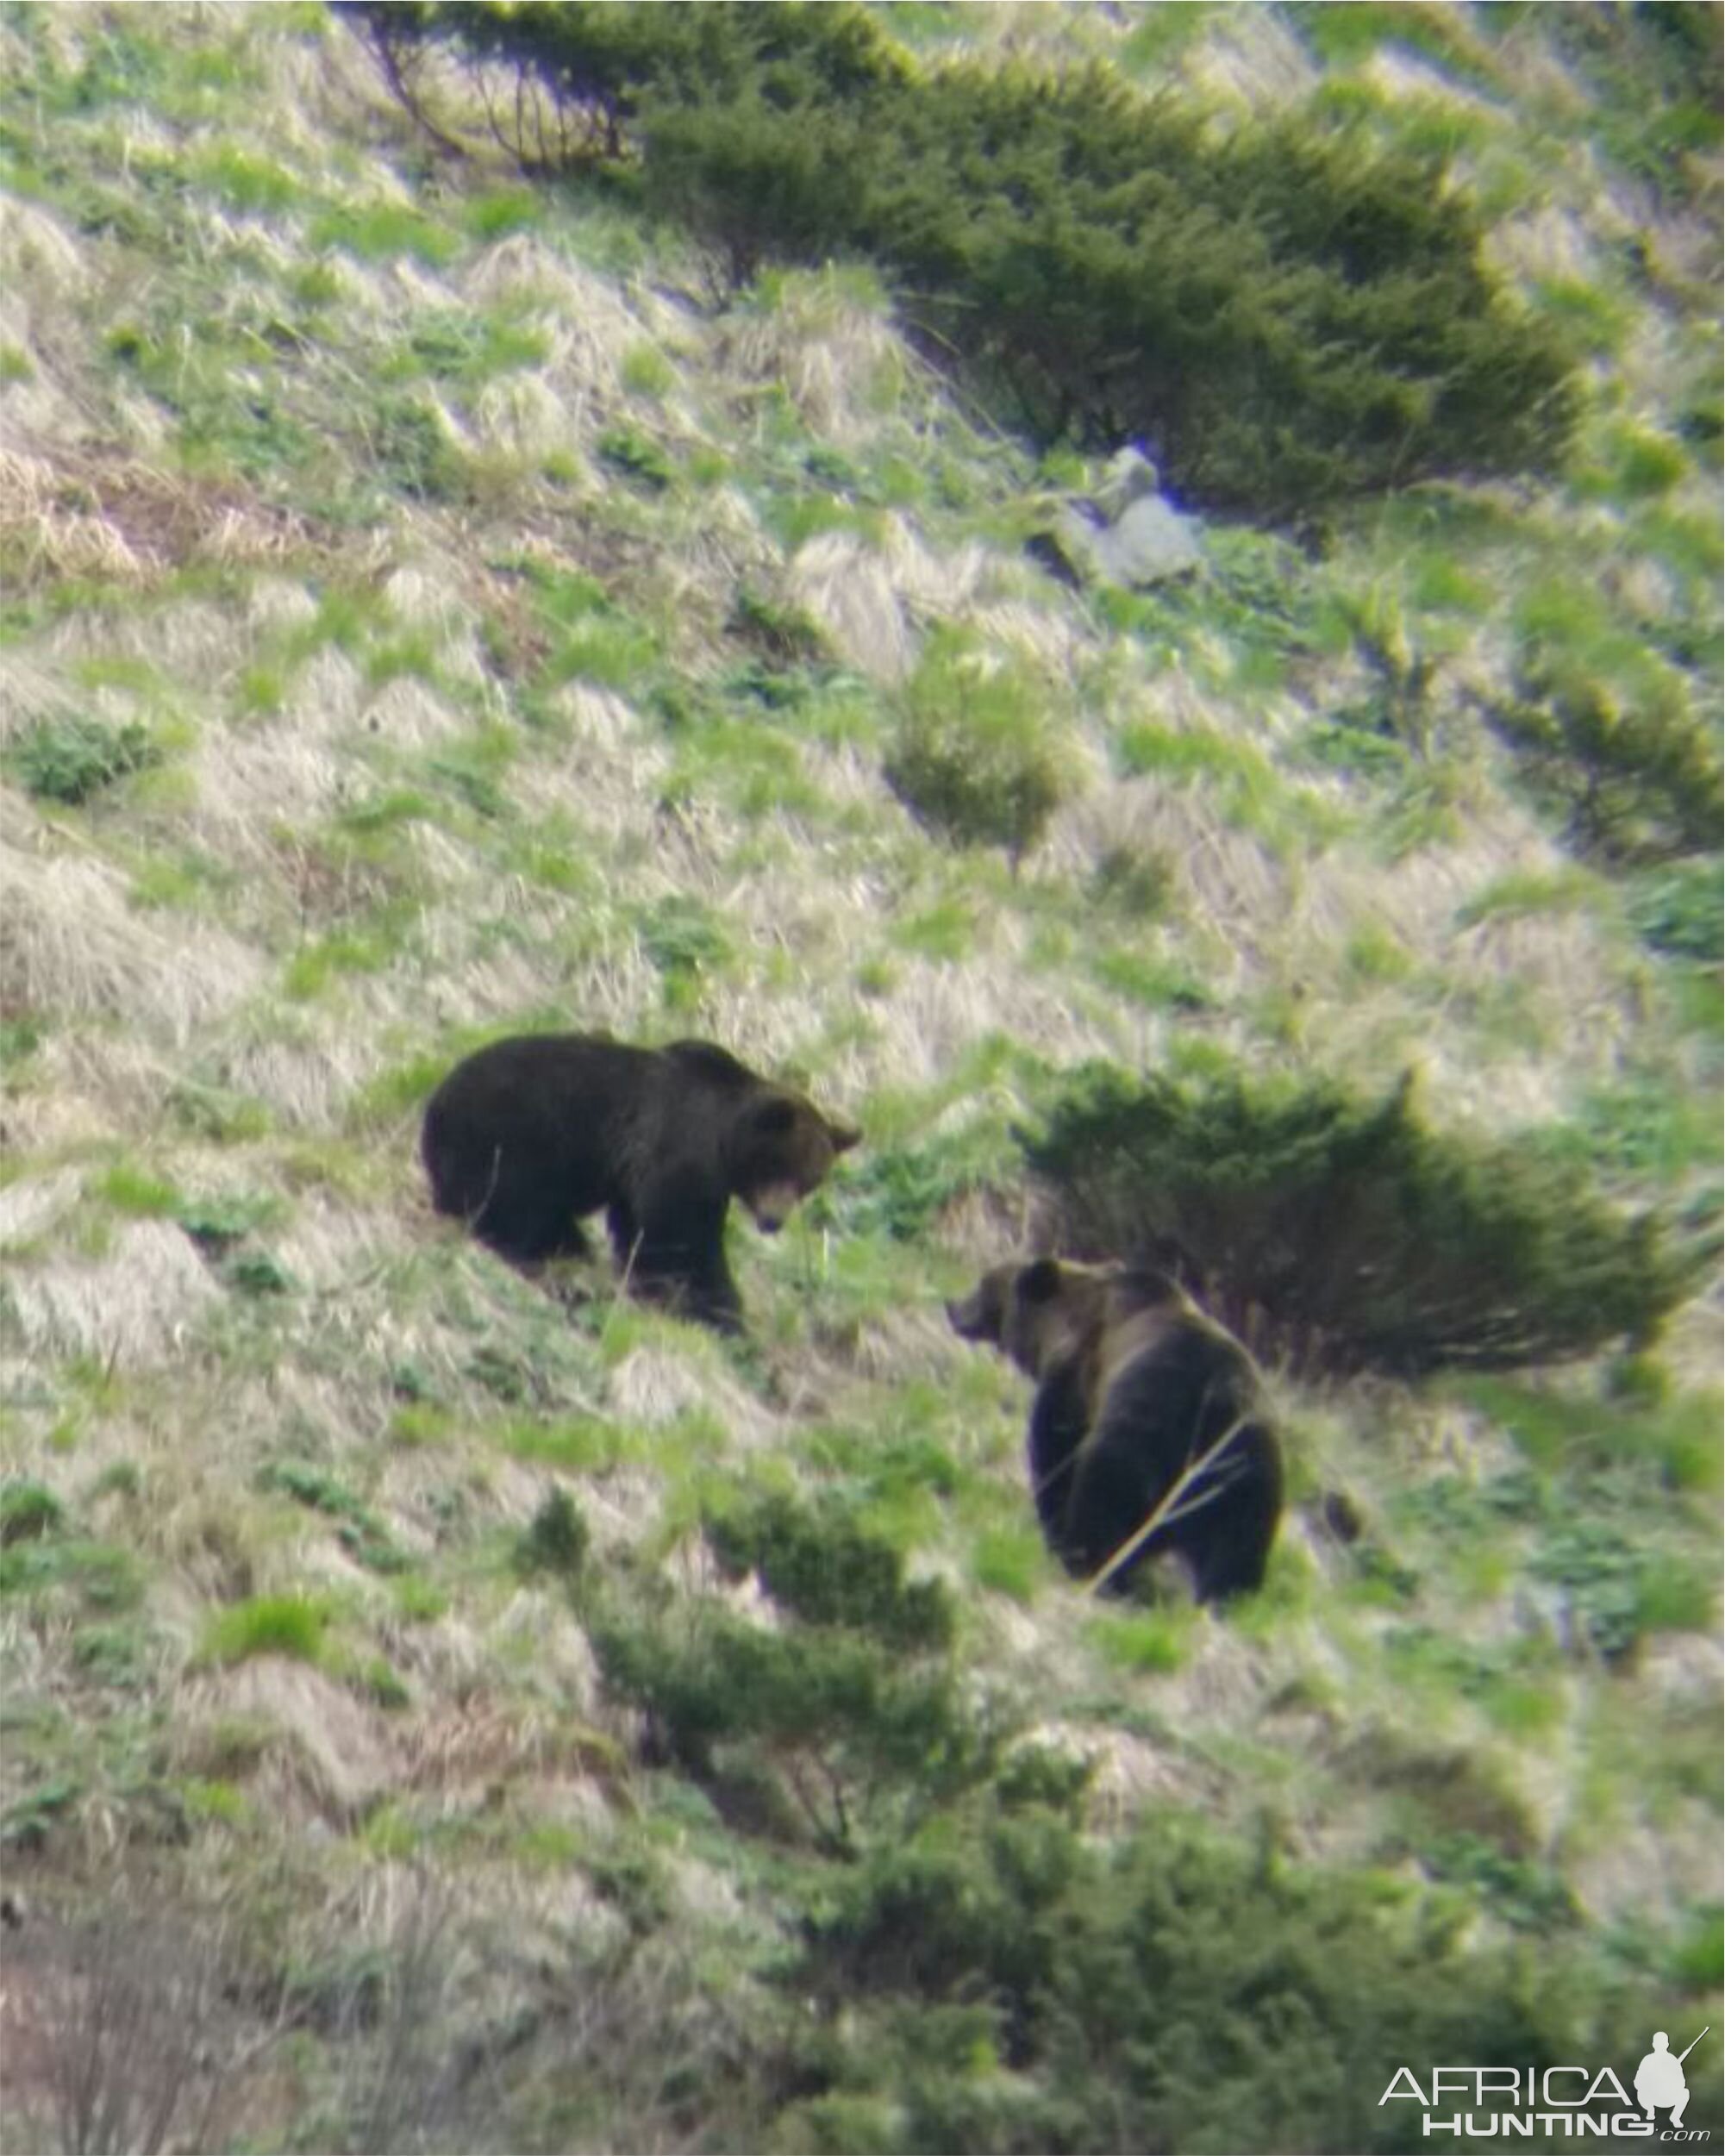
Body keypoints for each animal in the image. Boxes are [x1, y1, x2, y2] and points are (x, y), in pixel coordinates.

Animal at [420, 1030, 862, 1328]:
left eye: (807, 1181)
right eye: (777, 1168)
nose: (773, 1220)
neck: (724, 1140)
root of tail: (434, 1108)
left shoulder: (638, 1171)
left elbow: (638, 1225)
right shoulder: (681, 1150)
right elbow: (680, 1237)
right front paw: (718, 1309)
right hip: (514, 1138)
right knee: (518, 1211)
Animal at [944, 1259, 1276, 1603]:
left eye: (984, 1284)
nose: (951, 1306)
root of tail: (1222, 1398)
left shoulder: (1077, 1378)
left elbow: (1057, 1447)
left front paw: (1051, 1521)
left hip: (1153, 1419)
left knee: (1104, 1490)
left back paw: (1085, 1560)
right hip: (1245, 1468)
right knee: (1236, 1545)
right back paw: (1222, 1596)